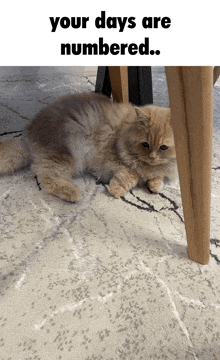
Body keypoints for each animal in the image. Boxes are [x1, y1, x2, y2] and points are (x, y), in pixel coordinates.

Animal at [0, 91, 177, 201]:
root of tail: (28, 141)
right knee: (47, 178)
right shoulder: (114, 161)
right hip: (67, 154)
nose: (152, 157)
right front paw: (116, 190)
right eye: (145, 144)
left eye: (163, 147)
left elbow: (157, 177)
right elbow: (130, 174)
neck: (124, 132)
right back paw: (73, 193)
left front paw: (155, 185)